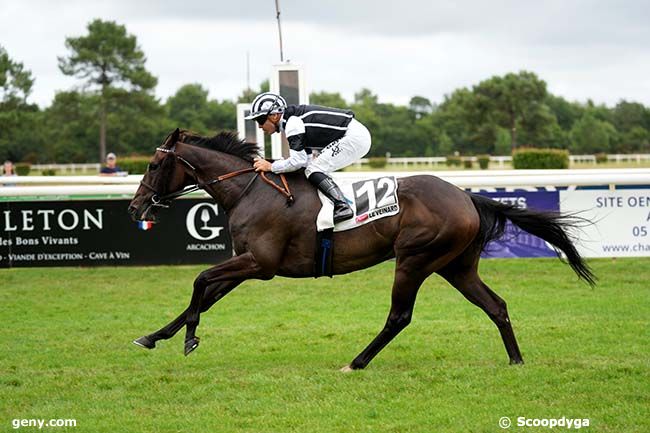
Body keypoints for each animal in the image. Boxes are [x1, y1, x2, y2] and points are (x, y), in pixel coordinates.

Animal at [125, 127, 592, 368]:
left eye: (154, 164)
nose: (134, 207)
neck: (251, 190)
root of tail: (466, 196)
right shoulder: (246, 262)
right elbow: (203, 294)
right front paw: (155, 336)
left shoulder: (260, 263)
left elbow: (200, 279)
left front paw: (189, 339)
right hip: (456, 266)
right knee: (496, 305)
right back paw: (516, 361)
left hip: (415, 259)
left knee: (399, 316)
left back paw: (357, 361)